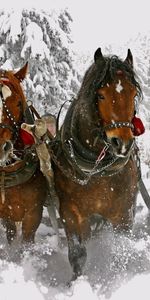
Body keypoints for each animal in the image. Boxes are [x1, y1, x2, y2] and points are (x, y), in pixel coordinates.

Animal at [52, 48, 142, 280]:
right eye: (101, 95)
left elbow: (121, 251)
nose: (122, 142)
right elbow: (77, 254)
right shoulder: (71, 212)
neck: (97, 170)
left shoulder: (123, 214)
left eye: (133, 94)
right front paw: (76, 282)